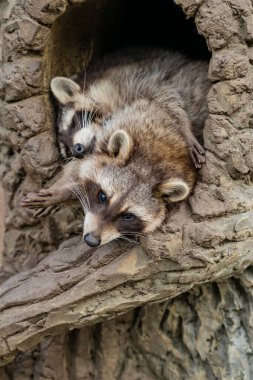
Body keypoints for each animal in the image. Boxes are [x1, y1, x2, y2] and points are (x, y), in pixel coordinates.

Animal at [51, 46, 210, 167]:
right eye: (67, 151)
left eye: (72, 123)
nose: (77, 150)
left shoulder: (129, 78)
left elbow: (162, 92)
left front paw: (183, 127)